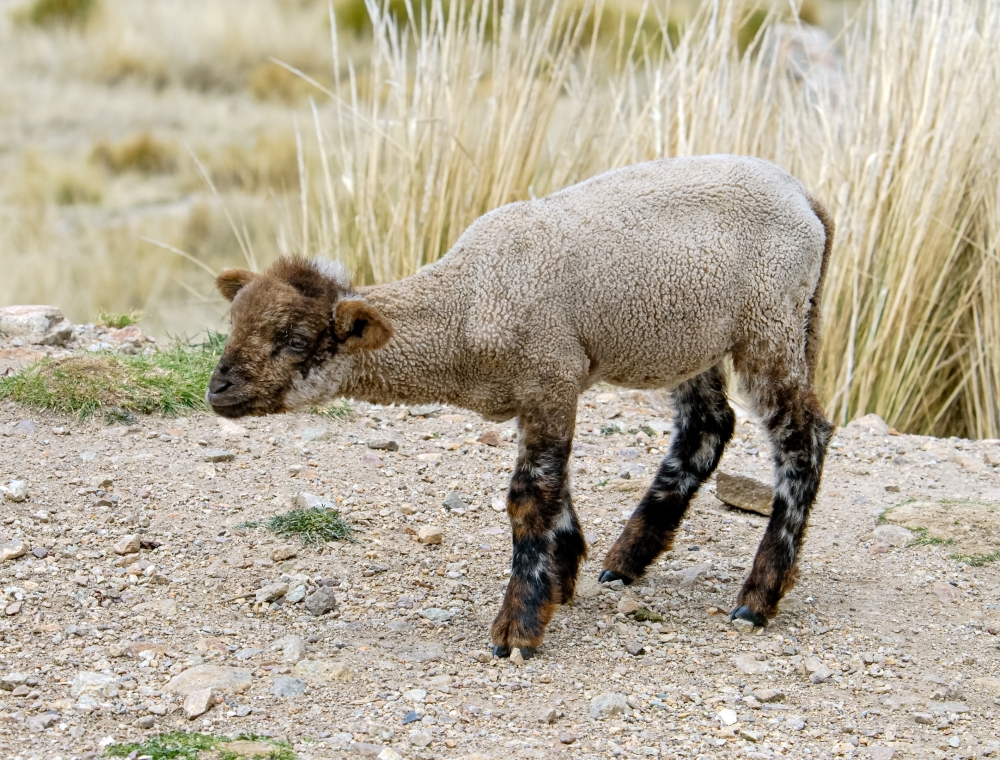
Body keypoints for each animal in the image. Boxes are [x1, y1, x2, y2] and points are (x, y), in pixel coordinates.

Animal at [209, 154, 836, 660]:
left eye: (295, 341)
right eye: (233, 324)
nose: (216, 389)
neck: (463, 310)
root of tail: (806, 198)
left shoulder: (550, 376)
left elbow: (529, 497)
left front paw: (520, 625)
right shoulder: (539, 393)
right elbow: (555, 491)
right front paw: (562, 574)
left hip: (770, 319)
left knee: (802, 440)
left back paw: (758, 595)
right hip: (690, 336)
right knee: (707, 427)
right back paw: (626, 560)